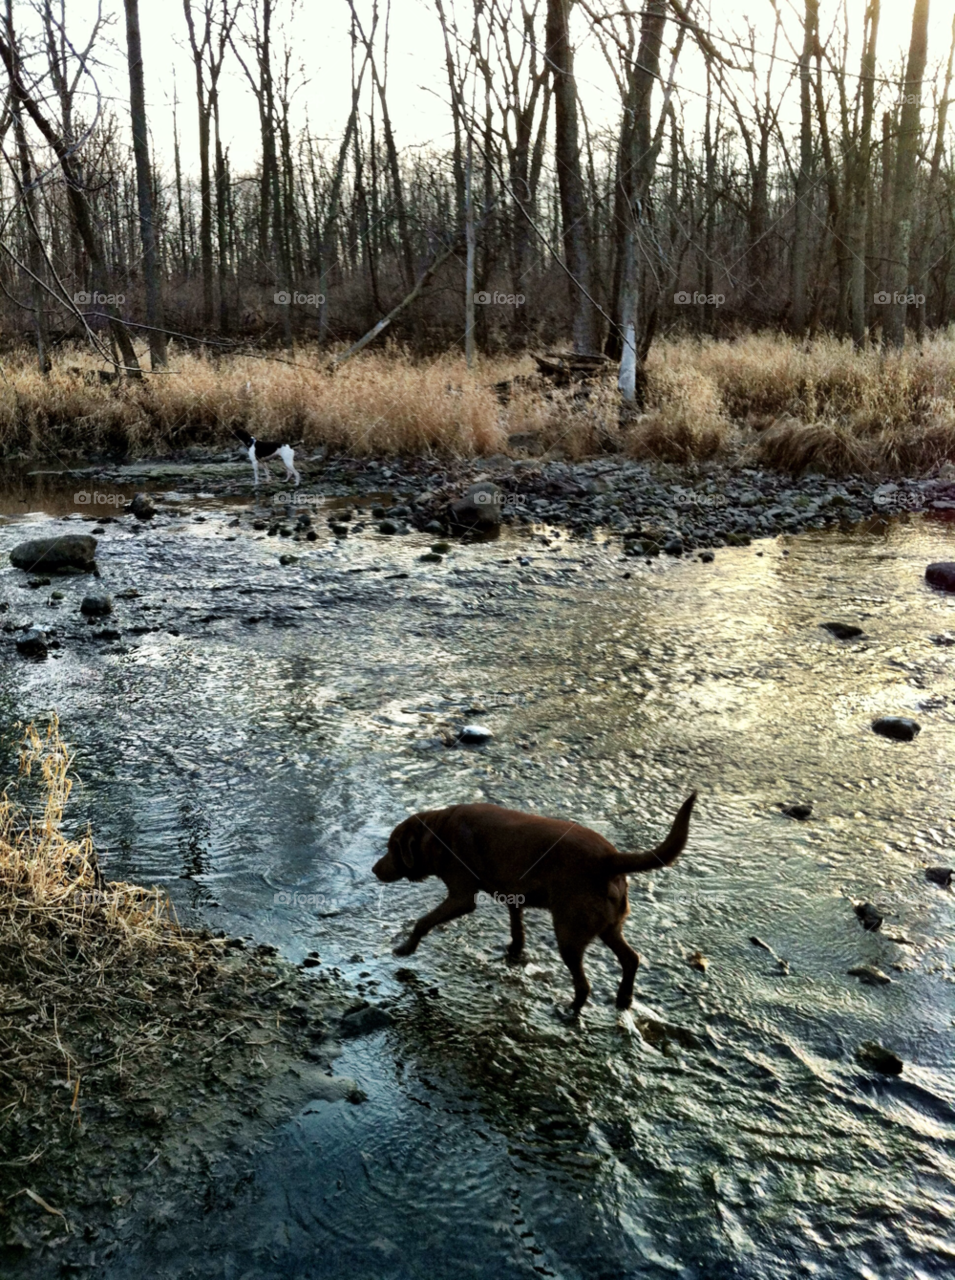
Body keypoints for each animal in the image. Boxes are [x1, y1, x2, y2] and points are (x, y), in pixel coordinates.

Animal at [371, 788, 691, 1008]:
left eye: (391, 847)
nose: (374, 869)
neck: (438, 832)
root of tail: (610, 859)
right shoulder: (513, 893)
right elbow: (517, 925)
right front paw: (515, 949)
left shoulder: (462, 897)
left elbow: (423, 922)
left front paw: (405, 948)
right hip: (608, 926)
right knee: (631, 958)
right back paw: (623, 998)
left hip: (569, 933)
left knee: (584, 985)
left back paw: (568, 1011)